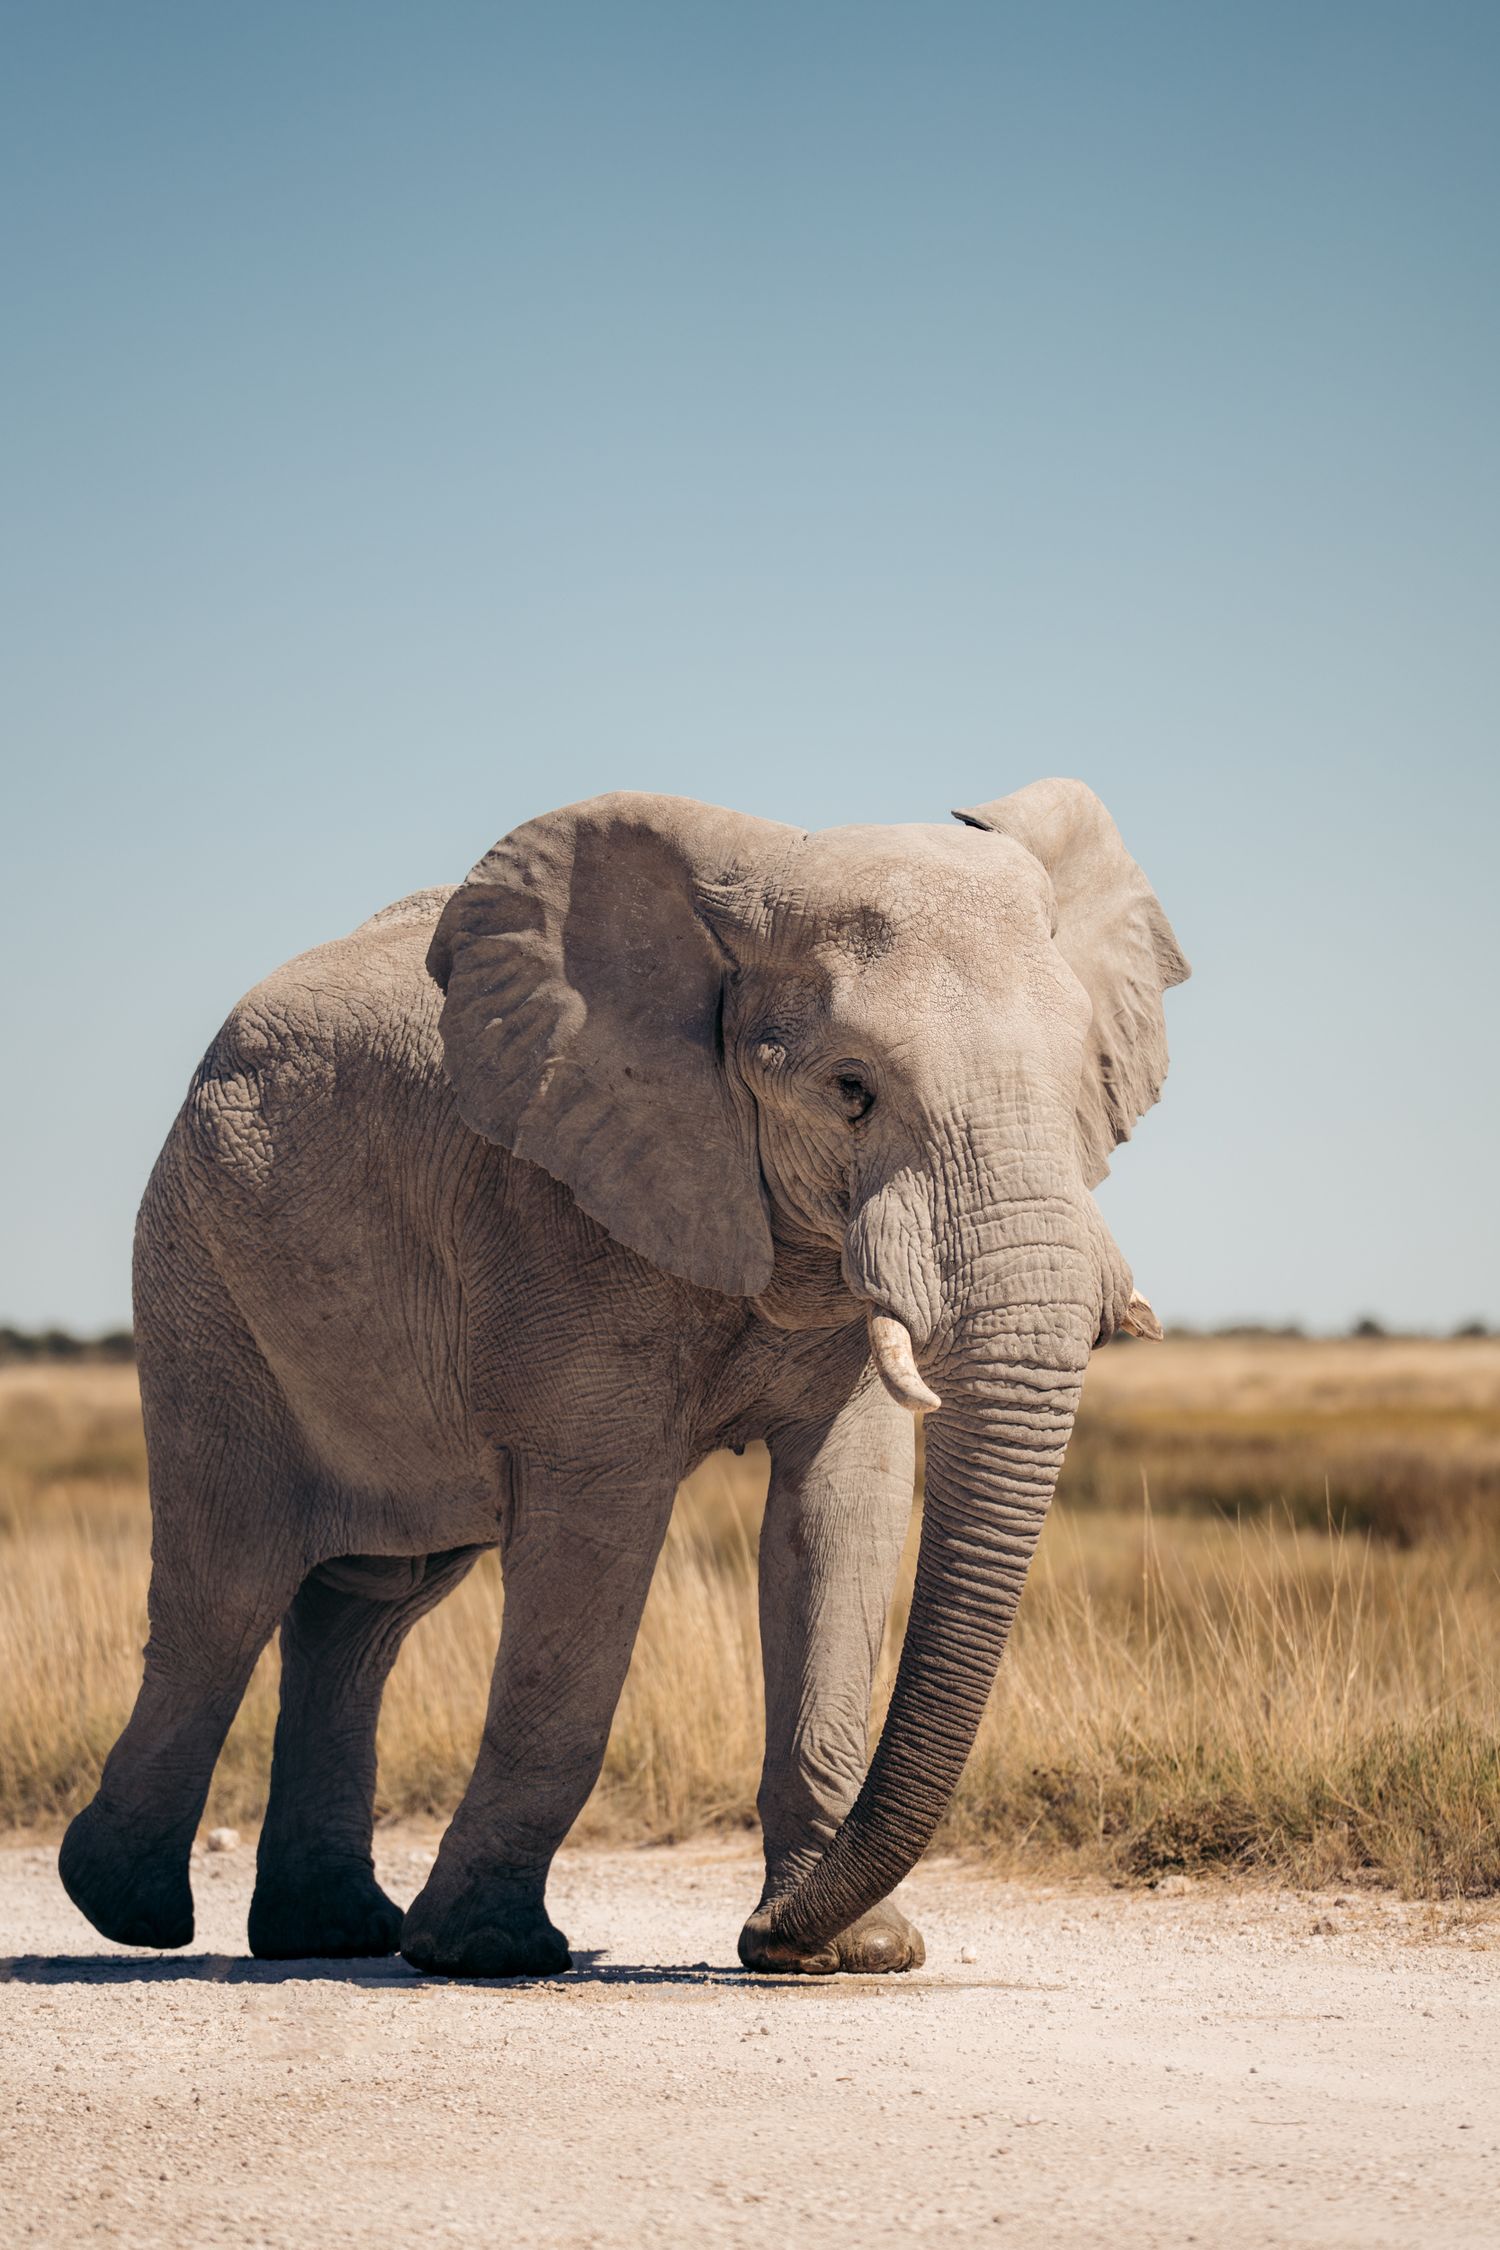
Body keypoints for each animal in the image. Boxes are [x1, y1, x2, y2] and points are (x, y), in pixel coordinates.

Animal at [60, 780, 1187, 1978]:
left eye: (1081, 1084)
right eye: (851, 1090)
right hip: (200, 1276)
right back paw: (123, 1907)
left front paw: (846, 1954)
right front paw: (489, 1953)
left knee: (372, 1603)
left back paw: (327, 1930)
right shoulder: (552, 1205)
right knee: (228, 1586)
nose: (762, 1936)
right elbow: (598, 1534)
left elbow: (842, 1512)